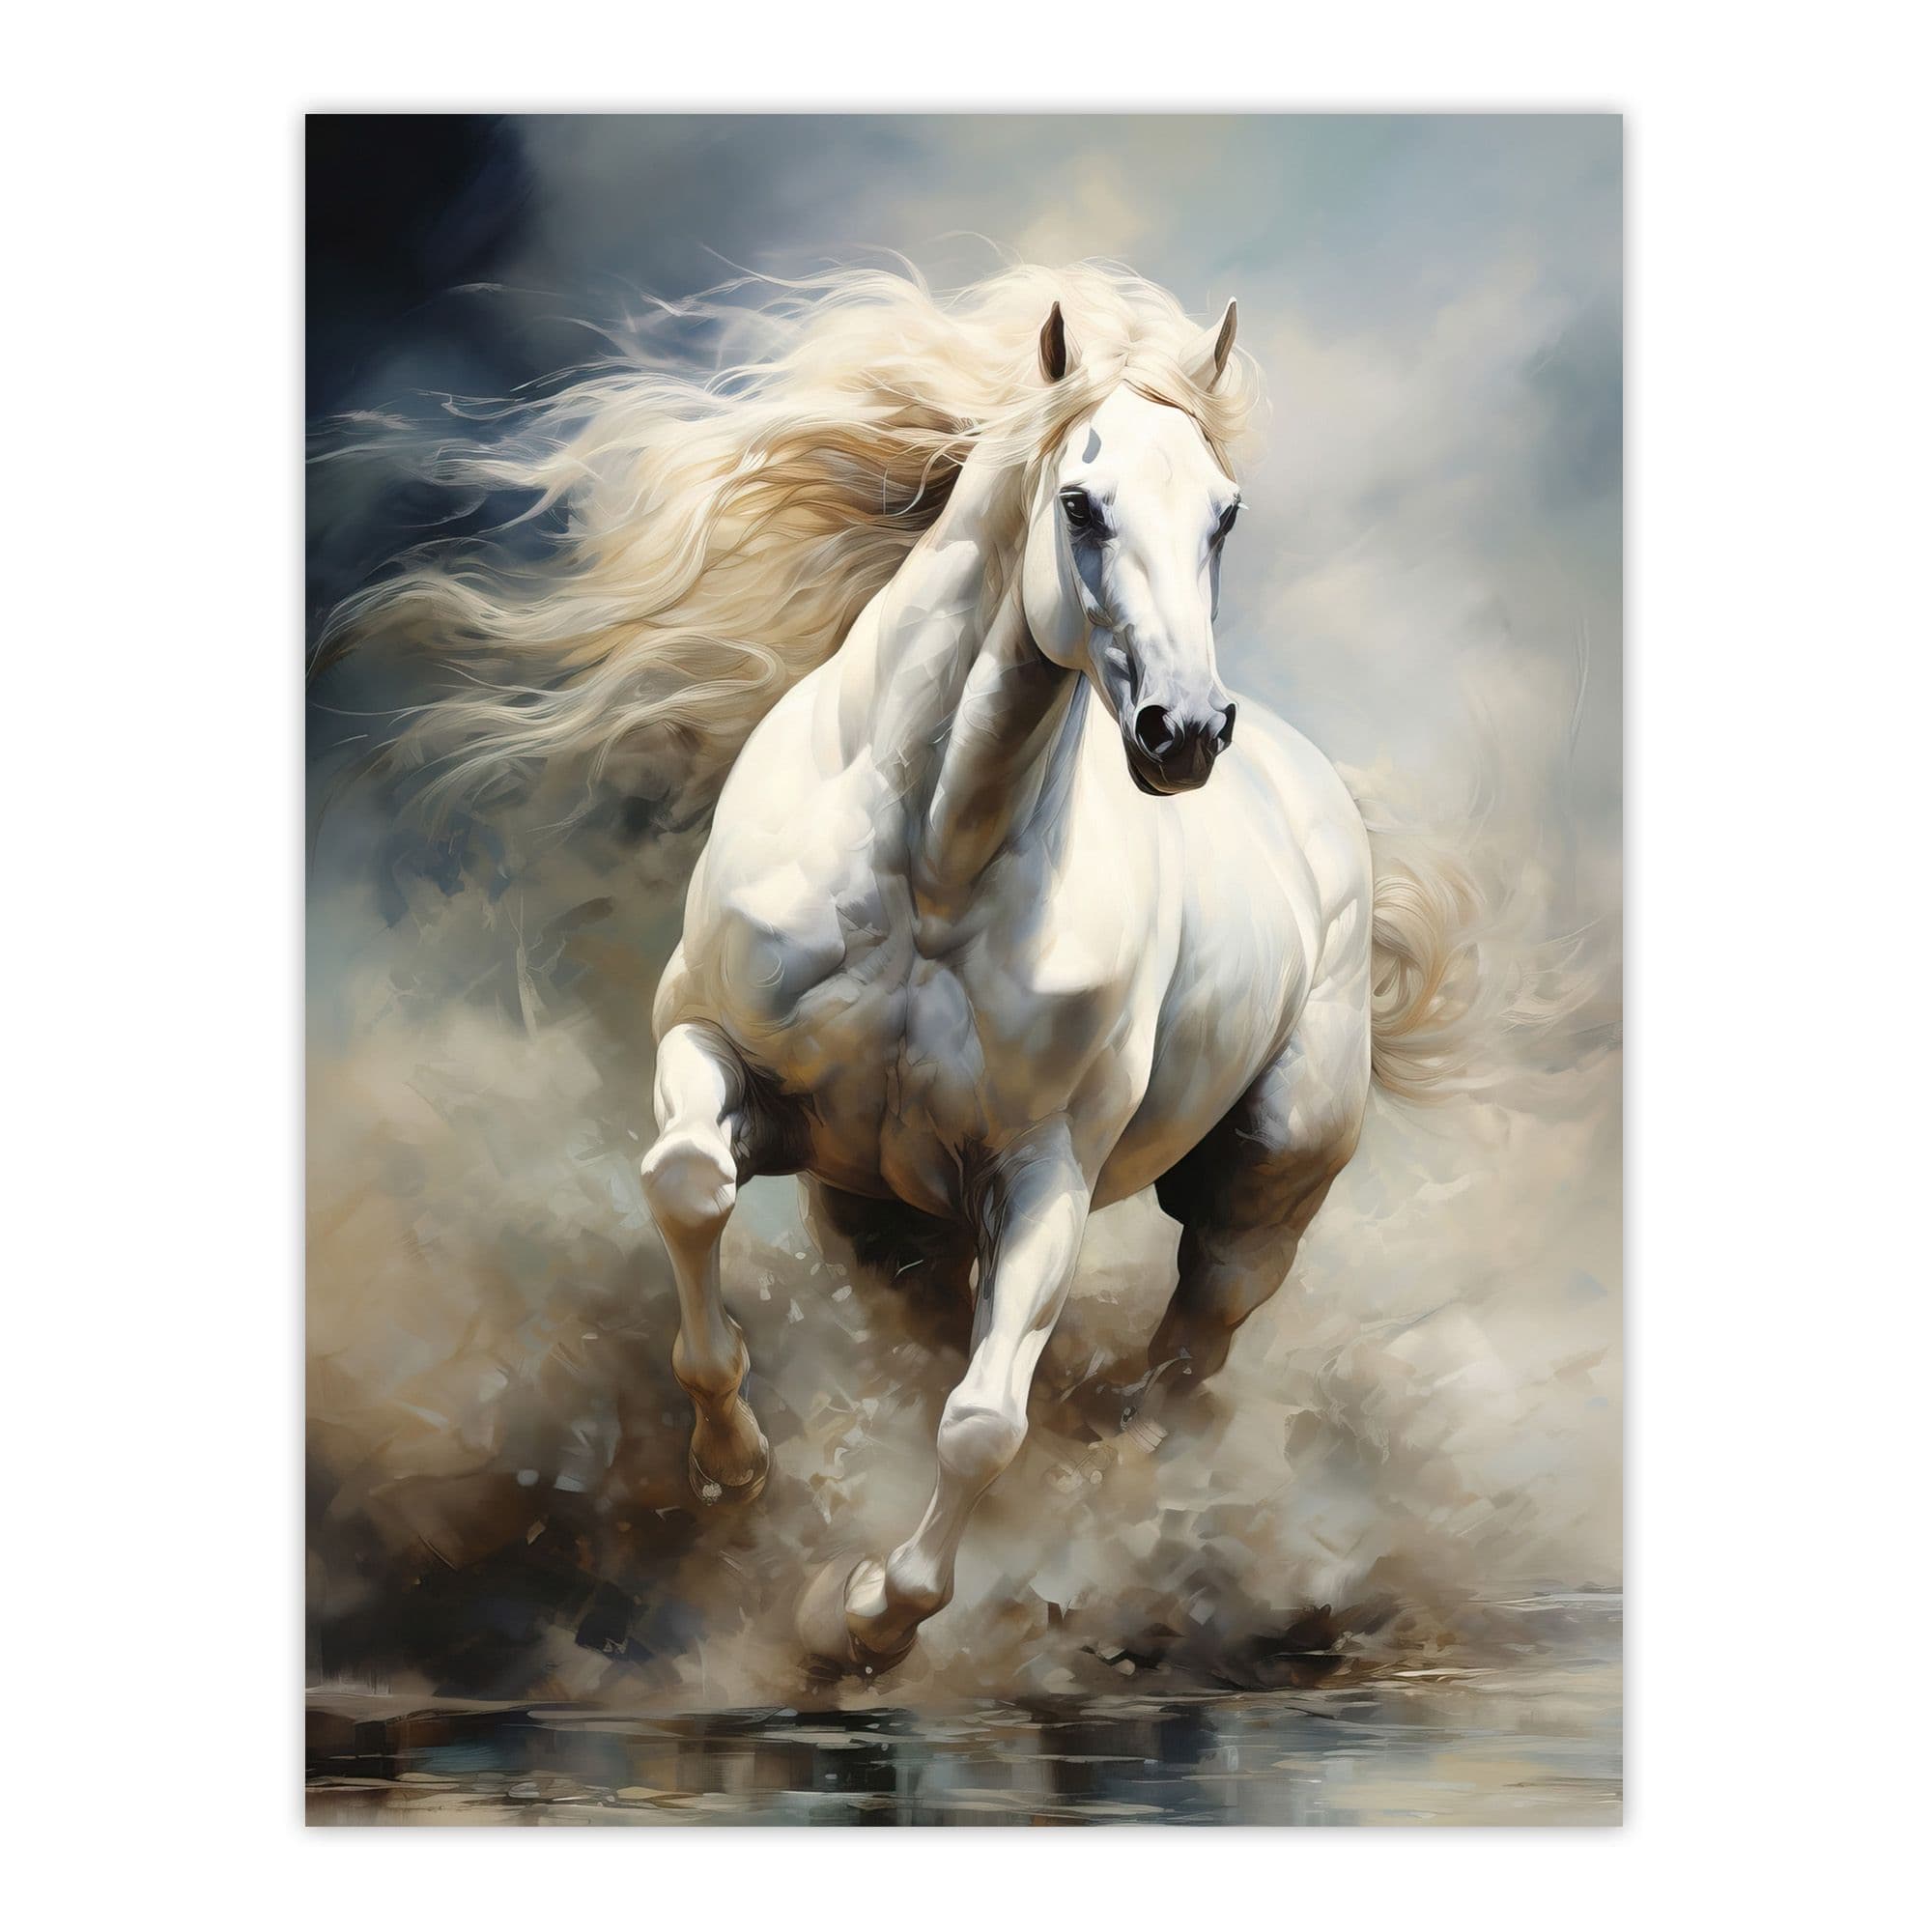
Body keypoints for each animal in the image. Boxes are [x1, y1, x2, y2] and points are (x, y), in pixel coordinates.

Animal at [335, 265, 1486, 1679]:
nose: (1182, 733)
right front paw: (734, 1463)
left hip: (1253, 1204)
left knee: (1178, 1373)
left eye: (1224, 514)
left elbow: (982, 1421)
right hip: (888, 1222)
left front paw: (867, 1619)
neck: (930, 870)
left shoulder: (1042, 1177)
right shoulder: (718, 1057)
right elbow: (685, 1185)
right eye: (1080, 504)